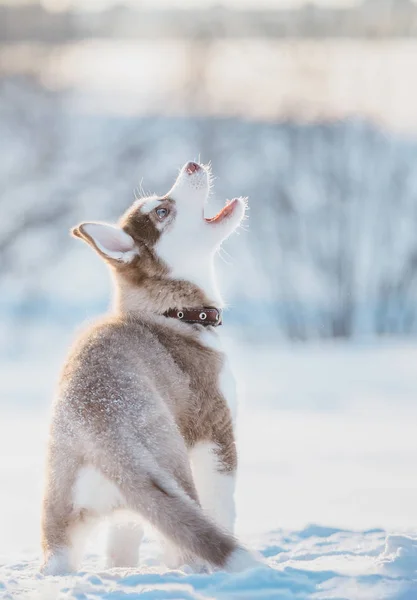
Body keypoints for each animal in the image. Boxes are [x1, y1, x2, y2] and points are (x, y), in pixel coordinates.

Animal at [41, 162, 256, 576]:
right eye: (162, 211)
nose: (191, 165)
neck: (173, 313)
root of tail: (102, 429)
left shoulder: (128, 521)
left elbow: (122, 547)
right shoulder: (216, 433)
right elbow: (224, 510)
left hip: (61, 525)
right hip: (176, 474)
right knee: (190, 550)